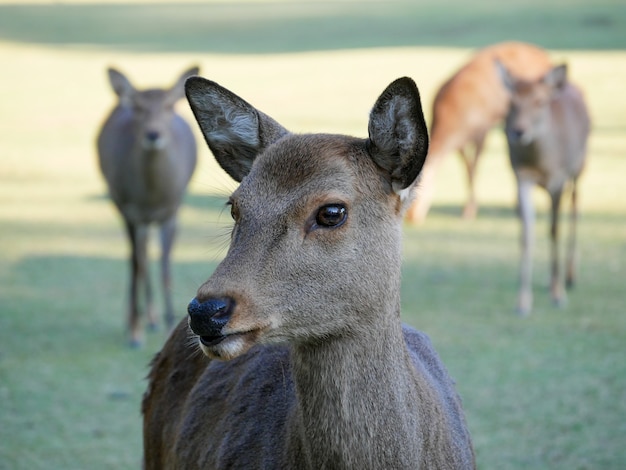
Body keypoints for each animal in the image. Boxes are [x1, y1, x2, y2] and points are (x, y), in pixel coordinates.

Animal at [97, 65, 197, 346]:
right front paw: (134, 332)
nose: (153, 134)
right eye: (138, 108)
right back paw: (137, 320)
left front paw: (168, 324)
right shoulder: (130, 210)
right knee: (136, 258)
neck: (152, 195)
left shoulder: (172, 210)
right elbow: (138, 263)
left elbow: (165, 265)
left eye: (168, 106)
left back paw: (152, 319)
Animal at [402, 41, 548, 223]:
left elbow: (474, 168)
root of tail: (545, 56)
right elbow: (466, 168)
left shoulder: (482, 129)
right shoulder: (460, 141)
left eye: (416, 191)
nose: (411, 217)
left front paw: (469, 212)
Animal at [494, 60, 588, 314]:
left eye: (540, 101)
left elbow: (554, 230)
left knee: (575, 206)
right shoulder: (520, 177)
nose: (518, 131)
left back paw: (570, 276)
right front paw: (523, 301)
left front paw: (558, 295)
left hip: (580, 165)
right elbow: (526, 234)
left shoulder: (558, 178)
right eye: (511, 102)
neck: (541, 163)